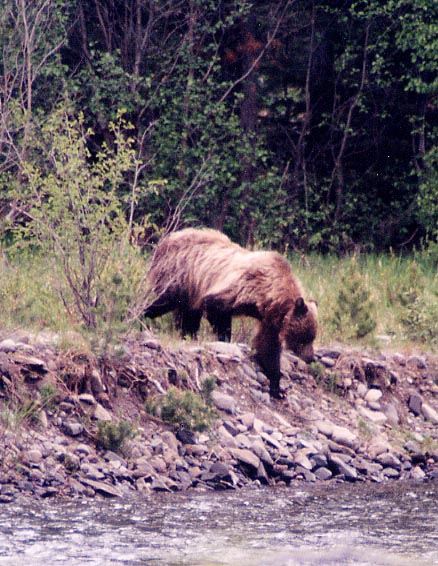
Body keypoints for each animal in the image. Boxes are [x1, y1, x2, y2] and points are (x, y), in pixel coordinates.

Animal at [143, 227, 318, 398]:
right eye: (304, 338)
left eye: (312, 337)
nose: (310, 358)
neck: (267, 295)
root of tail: (166, 241)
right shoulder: (238, 288)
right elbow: (217, 312)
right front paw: (224, 339)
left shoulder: (270, 319)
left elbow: (268, 346)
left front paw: (277, 387)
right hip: (179, 275)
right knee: (161, 302)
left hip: (190, 290)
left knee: (187, 315)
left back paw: (187, 334)